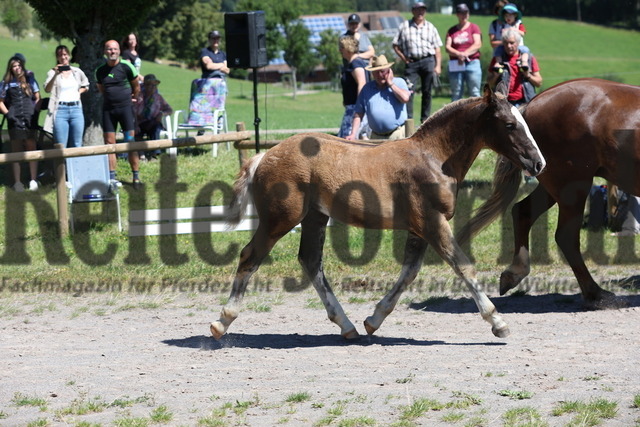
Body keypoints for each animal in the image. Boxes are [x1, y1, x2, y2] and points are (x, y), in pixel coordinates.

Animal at [211, 88, 544, 342]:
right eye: (509, 124)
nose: (539, 163)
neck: (433, 157)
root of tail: (265, 155)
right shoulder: (433, 222)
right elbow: (463, 266)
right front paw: (498, 322)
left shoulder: (419, 228)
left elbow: (409, 272)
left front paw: (373, 320)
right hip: (279, 220)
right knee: (250, 256)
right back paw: (221, 322)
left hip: (314, 218)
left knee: (310, 261)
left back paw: (347, 327)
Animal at [460, 79, 640, 308]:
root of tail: (534, 102)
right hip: (573, 185)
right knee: (566, 237)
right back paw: (595, 294)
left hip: (552, 184)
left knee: (522, 212)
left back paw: (515, 273)